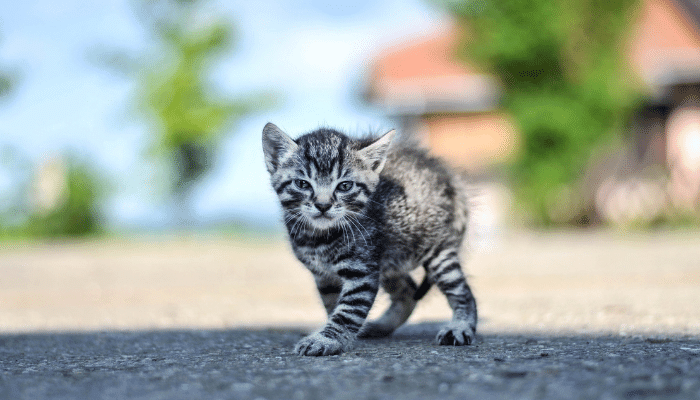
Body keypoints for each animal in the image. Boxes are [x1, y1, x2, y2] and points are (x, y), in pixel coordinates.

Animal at [262, 122, 476, 356]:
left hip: (437, 252)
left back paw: (460, 327)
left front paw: (326, 339)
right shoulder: (324, 275)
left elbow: (348, 310)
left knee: (463, 293)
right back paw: (379, 327)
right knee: (408, 291)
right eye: (302, 184)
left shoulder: (362, 271)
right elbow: (333, 305)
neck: (318, 238)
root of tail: (446, 176)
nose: (323, 205)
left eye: (345, 186)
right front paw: (336, 335)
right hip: (389, 259)